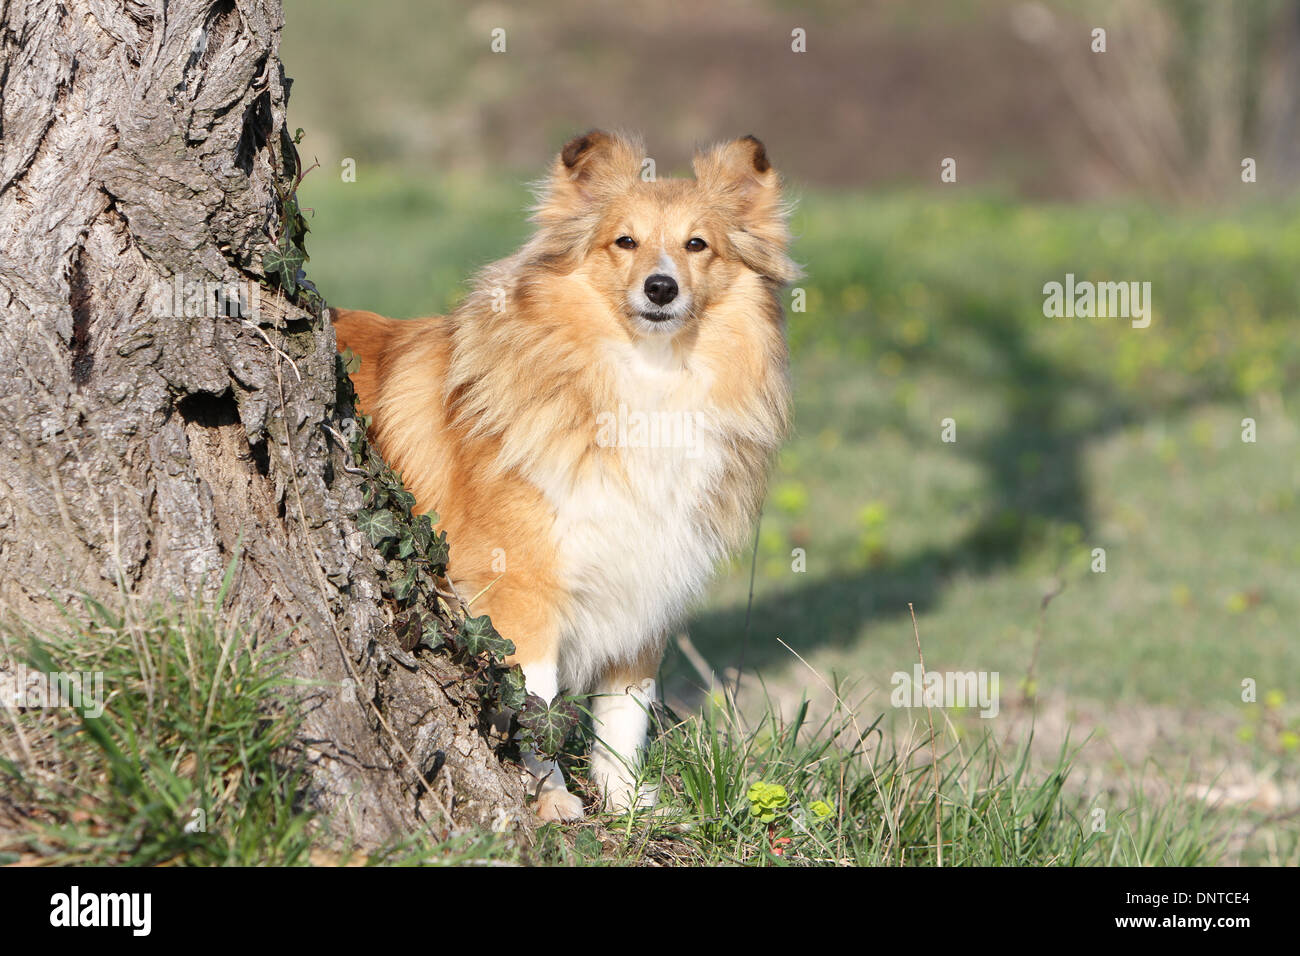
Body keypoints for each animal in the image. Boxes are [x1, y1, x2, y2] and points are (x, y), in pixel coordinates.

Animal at [330, 128, 795, 822]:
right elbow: (535, 704)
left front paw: (625, 802)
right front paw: (551, 800)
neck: (646, 380)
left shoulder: (645, 582)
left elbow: (626, 711)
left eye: (697, 244)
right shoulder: (519, 591)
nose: (661, 289)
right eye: (624, 241)